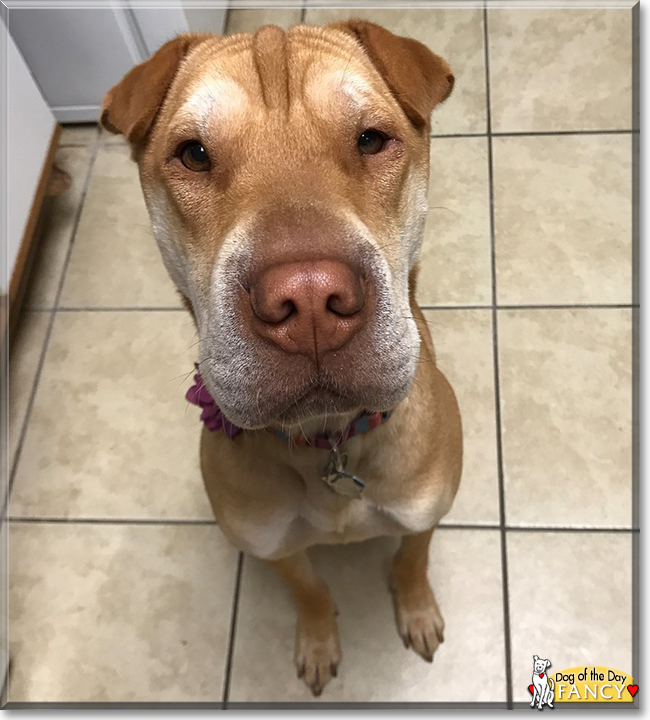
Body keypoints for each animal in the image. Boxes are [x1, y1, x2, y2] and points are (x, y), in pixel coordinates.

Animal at [102, 21, 460, 696]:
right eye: (194, 153)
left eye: (372, 139)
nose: (311, 299)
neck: (327, 441)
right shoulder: (273, 546)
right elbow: (310, 589)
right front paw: (318, 641)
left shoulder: (425, 511)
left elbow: (412, 557)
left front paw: (418, 608)